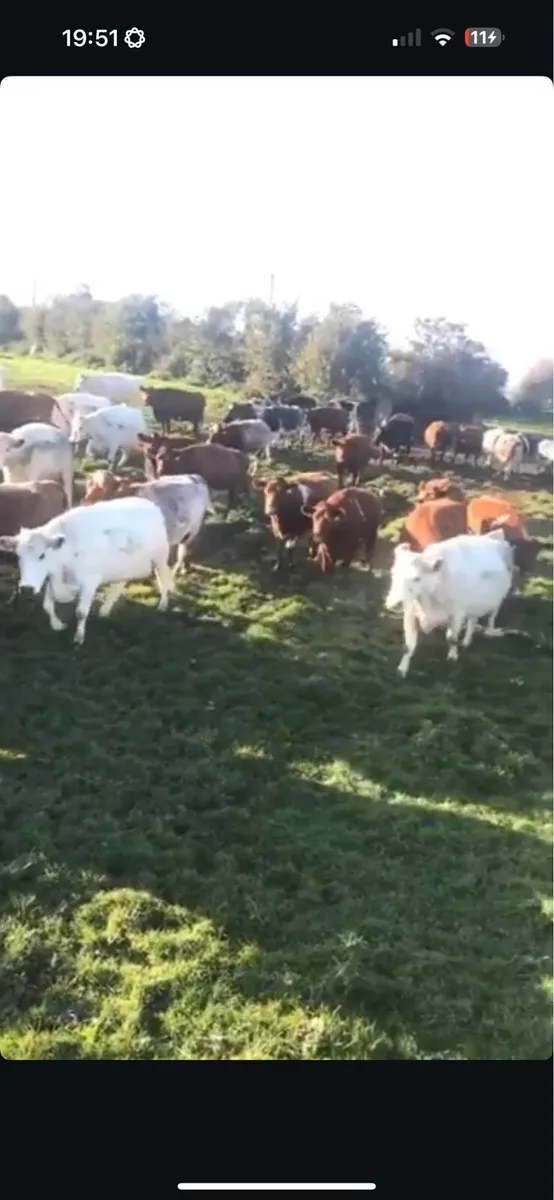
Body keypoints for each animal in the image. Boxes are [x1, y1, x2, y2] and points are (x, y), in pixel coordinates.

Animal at [0, 496, 174, 646]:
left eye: (42, 555)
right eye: (18, 556)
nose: (26, 588)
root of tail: (149, 503)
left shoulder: (89, 583)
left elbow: (81, 612)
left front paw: (79, 637)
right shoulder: (52, 579)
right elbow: (47, 606)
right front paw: (57, 625)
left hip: (160, 556)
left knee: (163, 577)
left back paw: (163, 604)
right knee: (120, 583)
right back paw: (105, 610)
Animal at [82, 470, 212, 579]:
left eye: (105, 488)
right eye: (89, 485)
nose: (86, 501)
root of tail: (194, 477)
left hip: (192, 531)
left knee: (184, 550)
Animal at [383, 530, 515, 678]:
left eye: (417, 578)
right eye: (393, 573)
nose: (394, 604)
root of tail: (495, 535)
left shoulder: (457, 613)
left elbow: (451, 638)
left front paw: (452, 658)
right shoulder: (410, 614)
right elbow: (408, 646)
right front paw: (402, 669)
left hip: (498, 599)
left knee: (492, 617)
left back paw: (490, 632)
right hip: (474, 604)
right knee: (473, 620)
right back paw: (466, 642)